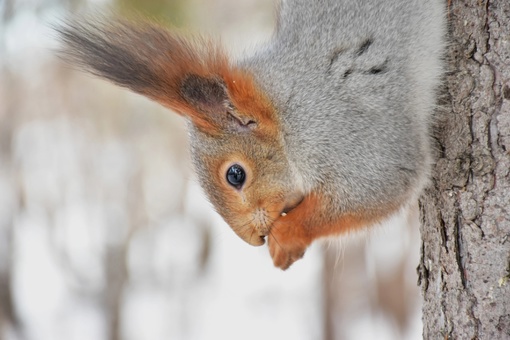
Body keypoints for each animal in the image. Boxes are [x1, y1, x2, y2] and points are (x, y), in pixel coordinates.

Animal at [56, 0, 446, 270]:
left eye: (235, 175)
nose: (253, 240)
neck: (287, 114)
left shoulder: (346, 133)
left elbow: (374, 190)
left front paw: (286, 238)